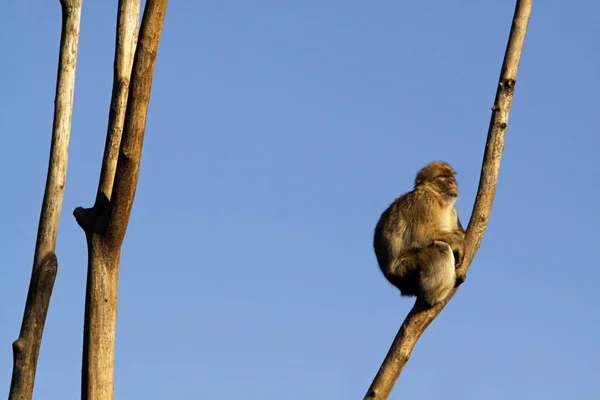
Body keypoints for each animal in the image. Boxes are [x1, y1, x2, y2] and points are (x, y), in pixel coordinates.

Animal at [372, 161, 466, 308]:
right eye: (442, 177)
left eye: (451, 176)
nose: (452, 182)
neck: (438, 200)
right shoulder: (424, 203)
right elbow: (420, 238)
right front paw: (461, 243)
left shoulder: (453, 212)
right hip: (404, 270)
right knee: (441, 247)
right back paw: (437, 295)